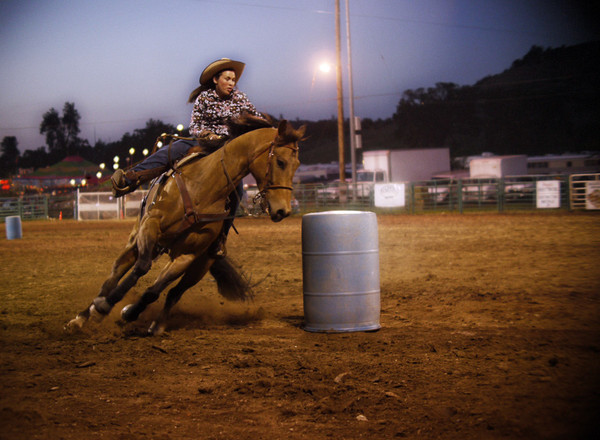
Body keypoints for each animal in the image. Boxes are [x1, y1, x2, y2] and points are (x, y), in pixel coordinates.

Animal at [65, 118, 304, 336]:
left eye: (297, 165)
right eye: (280, 162)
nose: (283, 211)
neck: (203, 187)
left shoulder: (187, 256)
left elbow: (154, 291)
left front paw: (129, 312)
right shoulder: (150, 226)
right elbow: (140, 268)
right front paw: (104, 306)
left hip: (200, 265)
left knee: (174, 293)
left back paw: (157, 325)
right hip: (136, 241)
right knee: (113, 276)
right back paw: (83, 317)